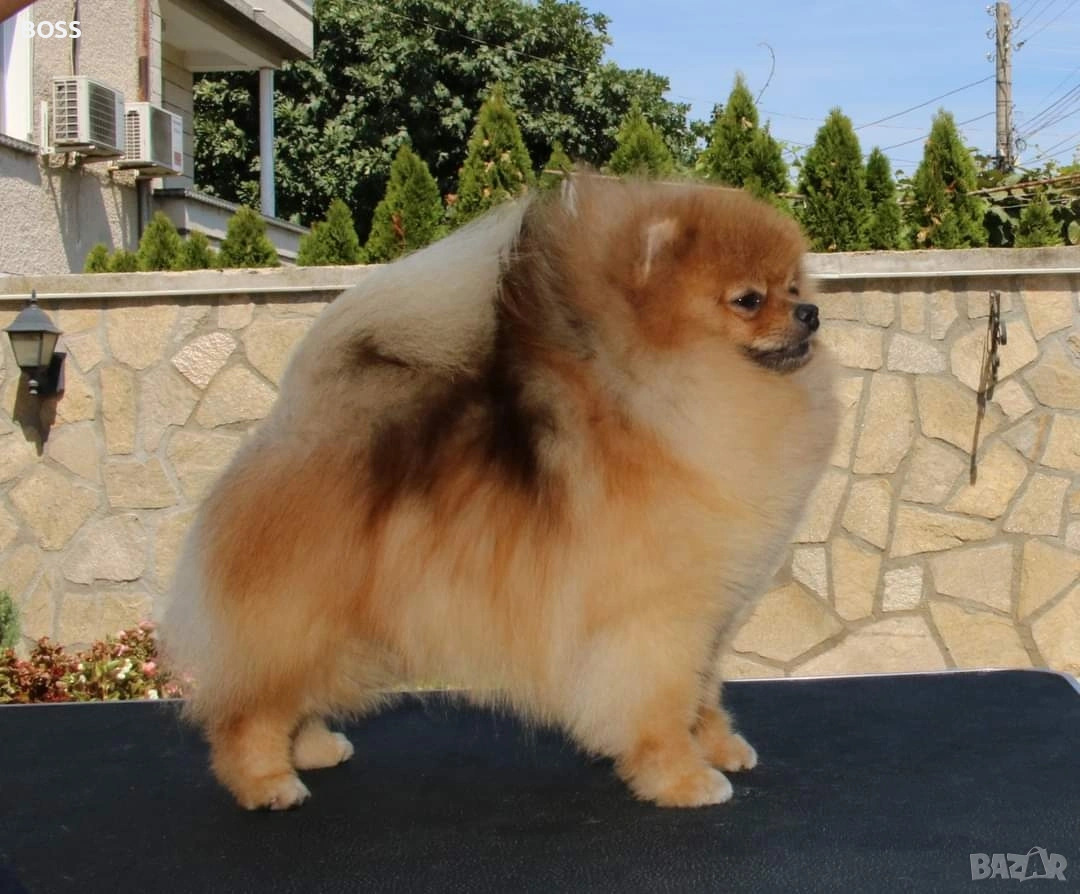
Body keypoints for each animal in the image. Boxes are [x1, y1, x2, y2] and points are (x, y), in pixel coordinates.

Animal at [161, 174, 839, 811]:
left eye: (794, 288)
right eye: (749, 299)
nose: (810, 313)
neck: (664, 394)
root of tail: (291, 424)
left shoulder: (711, 618)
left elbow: (704, 693)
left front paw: (719, 747)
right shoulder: (655, 620)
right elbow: (663, 703)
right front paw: (682, 777)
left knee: (292, 695)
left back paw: (313, 747)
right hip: (300, 617)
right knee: (248, 708)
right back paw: (266, 780)